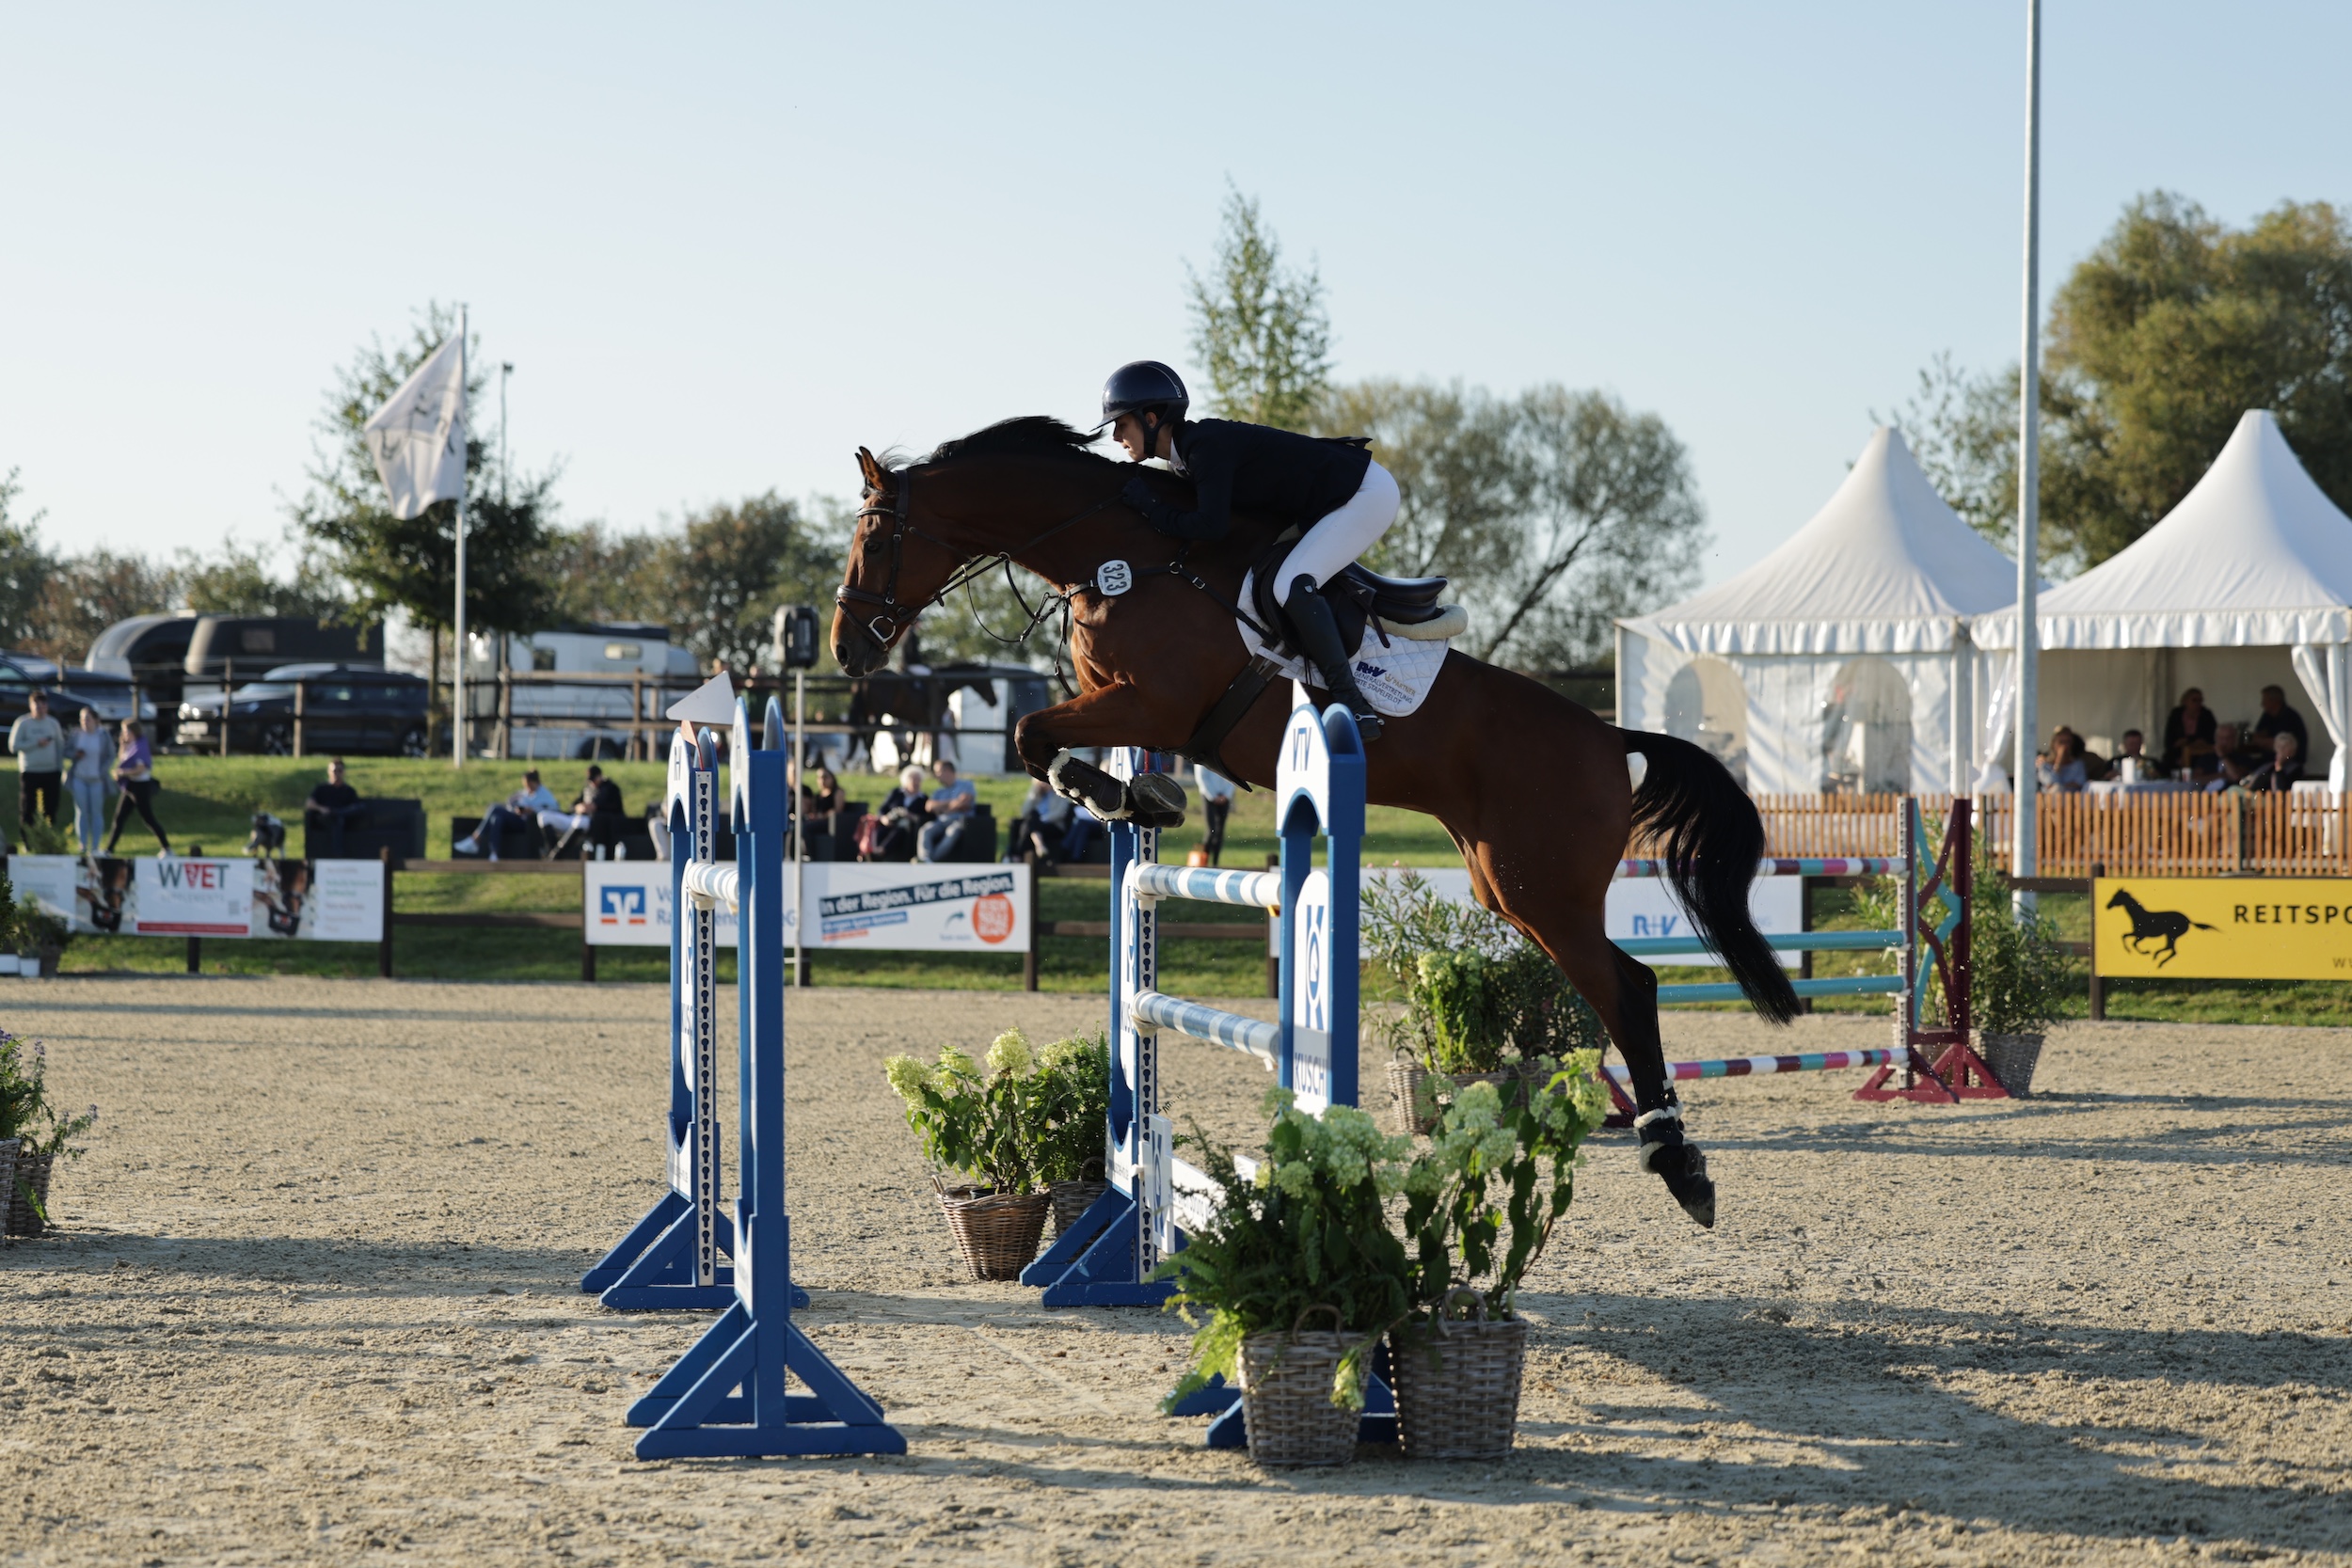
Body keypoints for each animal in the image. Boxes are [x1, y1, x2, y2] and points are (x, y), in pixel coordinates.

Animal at [837, 420, 1788, 1222]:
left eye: (876, 540)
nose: (848, 650)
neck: (1124, 555)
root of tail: (1610, 736)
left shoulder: (1154, 701)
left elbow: (1033, 732)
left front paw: (1121, 794)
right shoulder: (1126, 707)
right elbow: (1049, 743)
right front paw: (1138, 798)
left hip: (1545, 889)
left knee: (1630, 988)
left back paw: (1677, 1161)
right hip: (1506, 884)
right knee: (1617, 983)